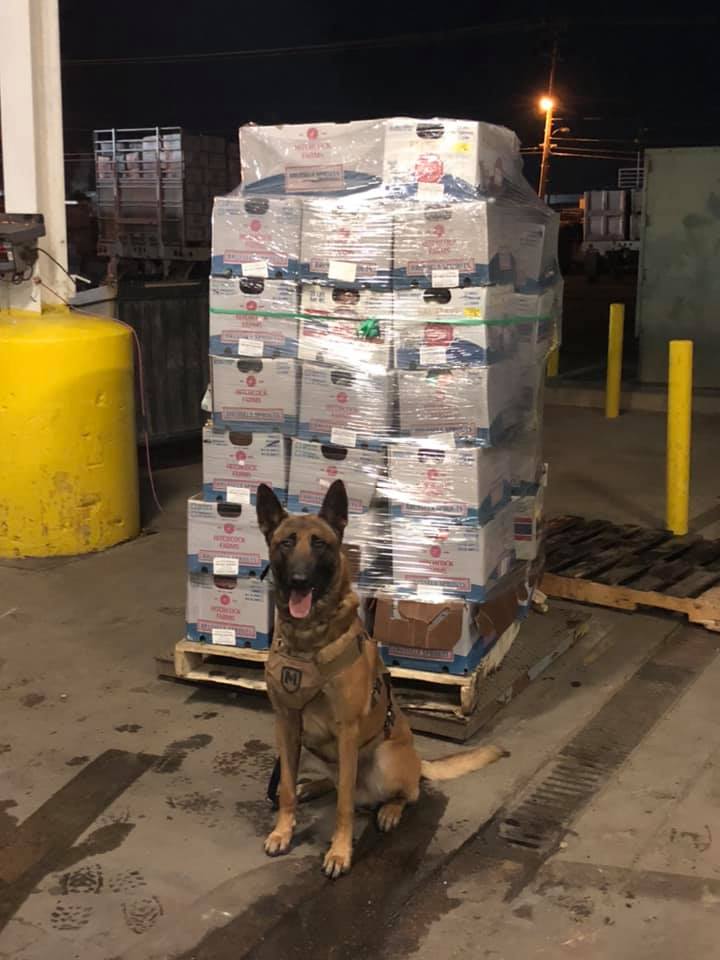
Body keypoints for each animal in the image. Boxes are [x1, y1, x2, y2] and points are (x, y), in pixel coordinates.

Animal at [256, 480, 504, 876]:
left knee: (403, 793)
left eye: (320, 544)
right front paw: (283, 830)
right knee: (325, 783)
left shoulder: (347, 730)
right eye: (286, 543)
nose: (298, 581)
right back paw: (313, 787)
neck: (308, 642)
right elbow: (287, 790)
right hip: (309, 748)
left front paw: (340, 852)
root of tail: (419, 763)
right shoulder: (287, 722)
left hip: (385, 760)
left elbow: (343, 804)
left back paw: (389, 810)